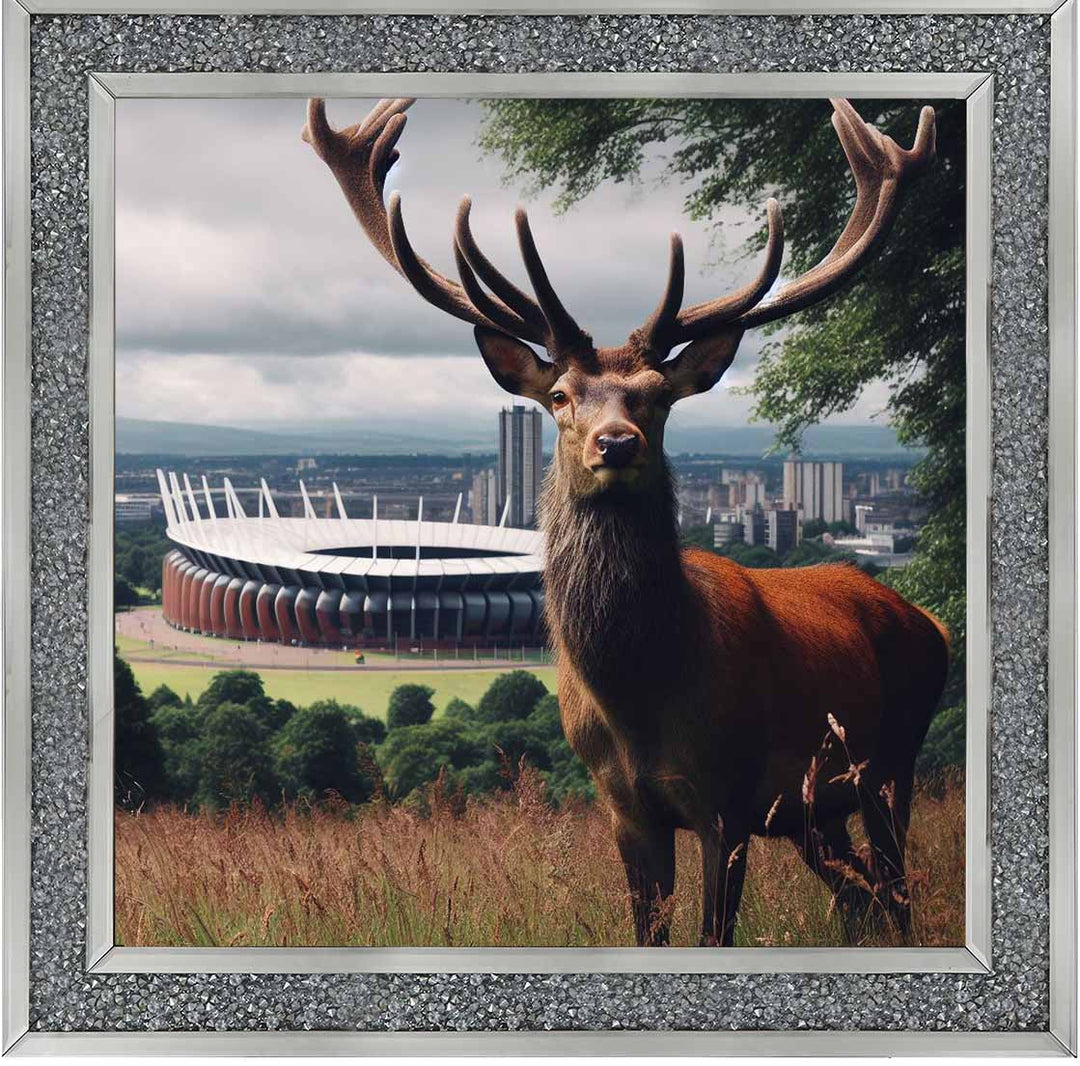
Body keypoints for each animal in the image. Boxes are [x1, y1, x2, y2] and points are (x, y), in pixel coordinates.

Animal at [303, 95, 949, 947]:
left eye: (658, 396)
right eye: (561, 395)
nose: (616, 442)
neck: (643, 696)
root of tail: (931, 622)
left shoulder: (727, 800)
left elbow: (714, 935)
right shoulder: (624, 806)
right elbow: (649, 931)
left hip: (891, 764)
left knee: (896, 894)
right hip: (815, 811)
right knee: (858, 898)